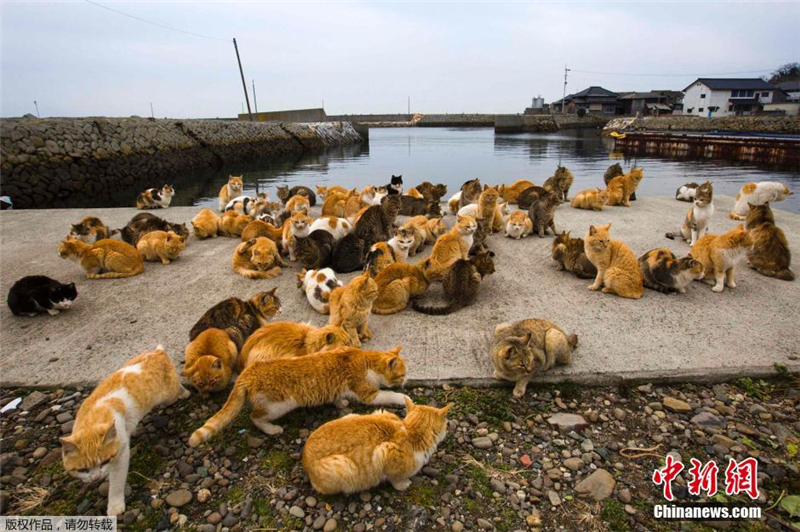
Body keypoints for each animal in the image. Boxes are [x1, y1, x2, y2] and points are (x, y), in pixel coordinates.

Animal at [61, 344, 189, 516]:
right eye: (82, 469)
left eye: (105, 461)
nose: (96, 478)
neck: (91, 420)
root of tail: (158, 352)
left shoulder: (121, 453)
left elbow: (116, 482)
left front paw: (115, 505)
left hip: (170, 394)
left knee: (177, 389)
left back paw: (185, 393)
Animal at [190, 348, 410, 446]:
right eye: (402, 374)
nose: (407, 379)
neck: (366, 359)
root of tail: (249, 371)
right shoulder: (368, 394)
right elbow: (390, 394)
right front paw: (403, 396)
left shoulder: (336, 387)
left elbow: (337, 396)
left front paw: (341, 403)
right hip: (277, 405)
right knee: (255, 417)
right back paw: (272, 429)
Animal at [302, 394, 450, 494]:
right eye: (446, 424)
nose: (448, 428)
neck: (410, 431)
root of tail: (304, 457)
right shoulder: (384, 452)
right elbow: (395, 477)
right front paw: (403, 484)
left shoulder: (383, 412)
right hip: (344, 467)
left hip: (353, 415)